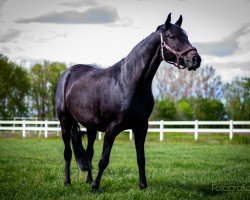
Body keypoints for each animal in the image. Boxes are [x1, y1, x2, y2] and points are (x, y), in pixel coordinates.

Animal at [54, 13, 201, 190]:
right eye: (172, 37)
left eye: (186, 36)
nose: (195, 59)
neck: (128, 82)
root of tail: (67, 74)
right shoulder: (111, 129)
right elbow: (104, 160)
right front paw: (96, 187)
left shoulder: (141, 127)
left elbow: (141, 158)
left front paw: (143, 185)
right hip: (65, 121)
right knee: (67, 153)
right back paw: (67, 182)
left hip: (91, 127)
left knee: (89, 153)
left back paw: (88, 180)